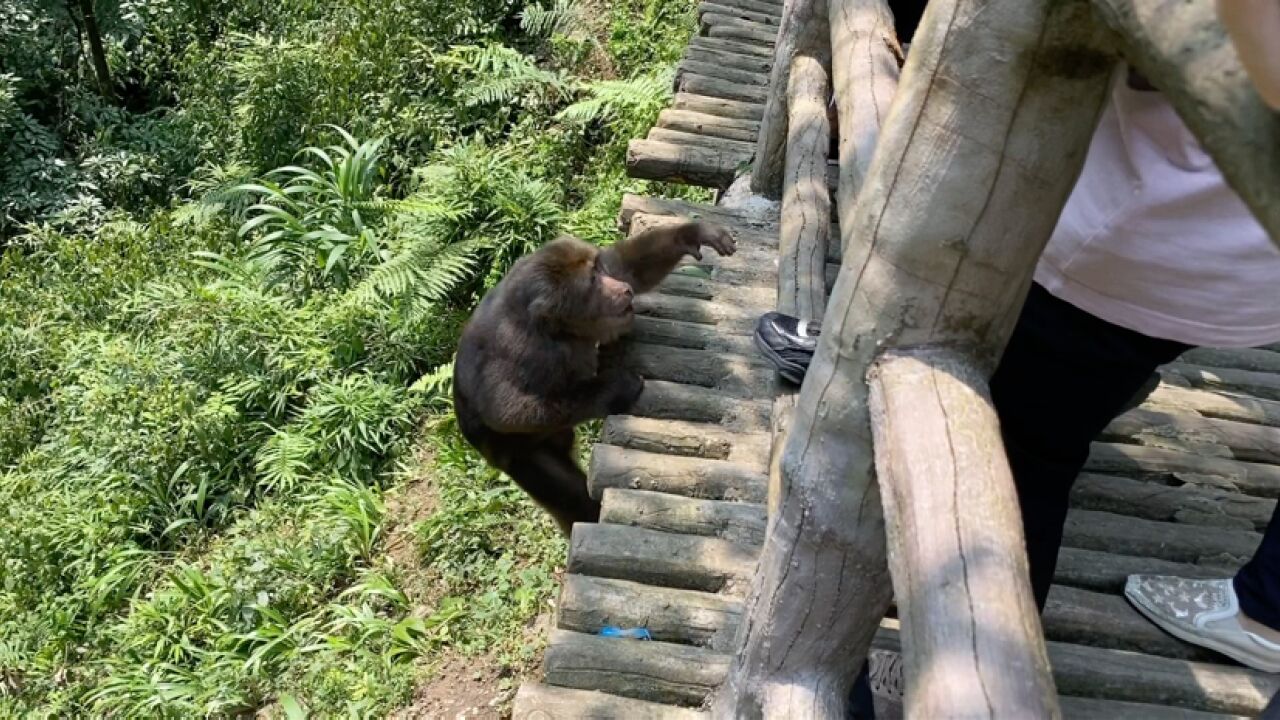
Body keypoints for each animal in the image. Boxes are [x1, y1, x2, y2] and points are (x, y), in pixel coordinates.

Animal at [450, 220, 737, 532]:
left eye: (598, 270)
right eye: (592, 283)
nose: (621, 290)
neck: (562, 329)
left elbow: (625, 265)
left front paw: (693, 234)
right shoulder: (522, 348)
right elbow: (507, 410)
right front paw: (614, 388)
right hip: (519, 456)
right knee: (568, 495)